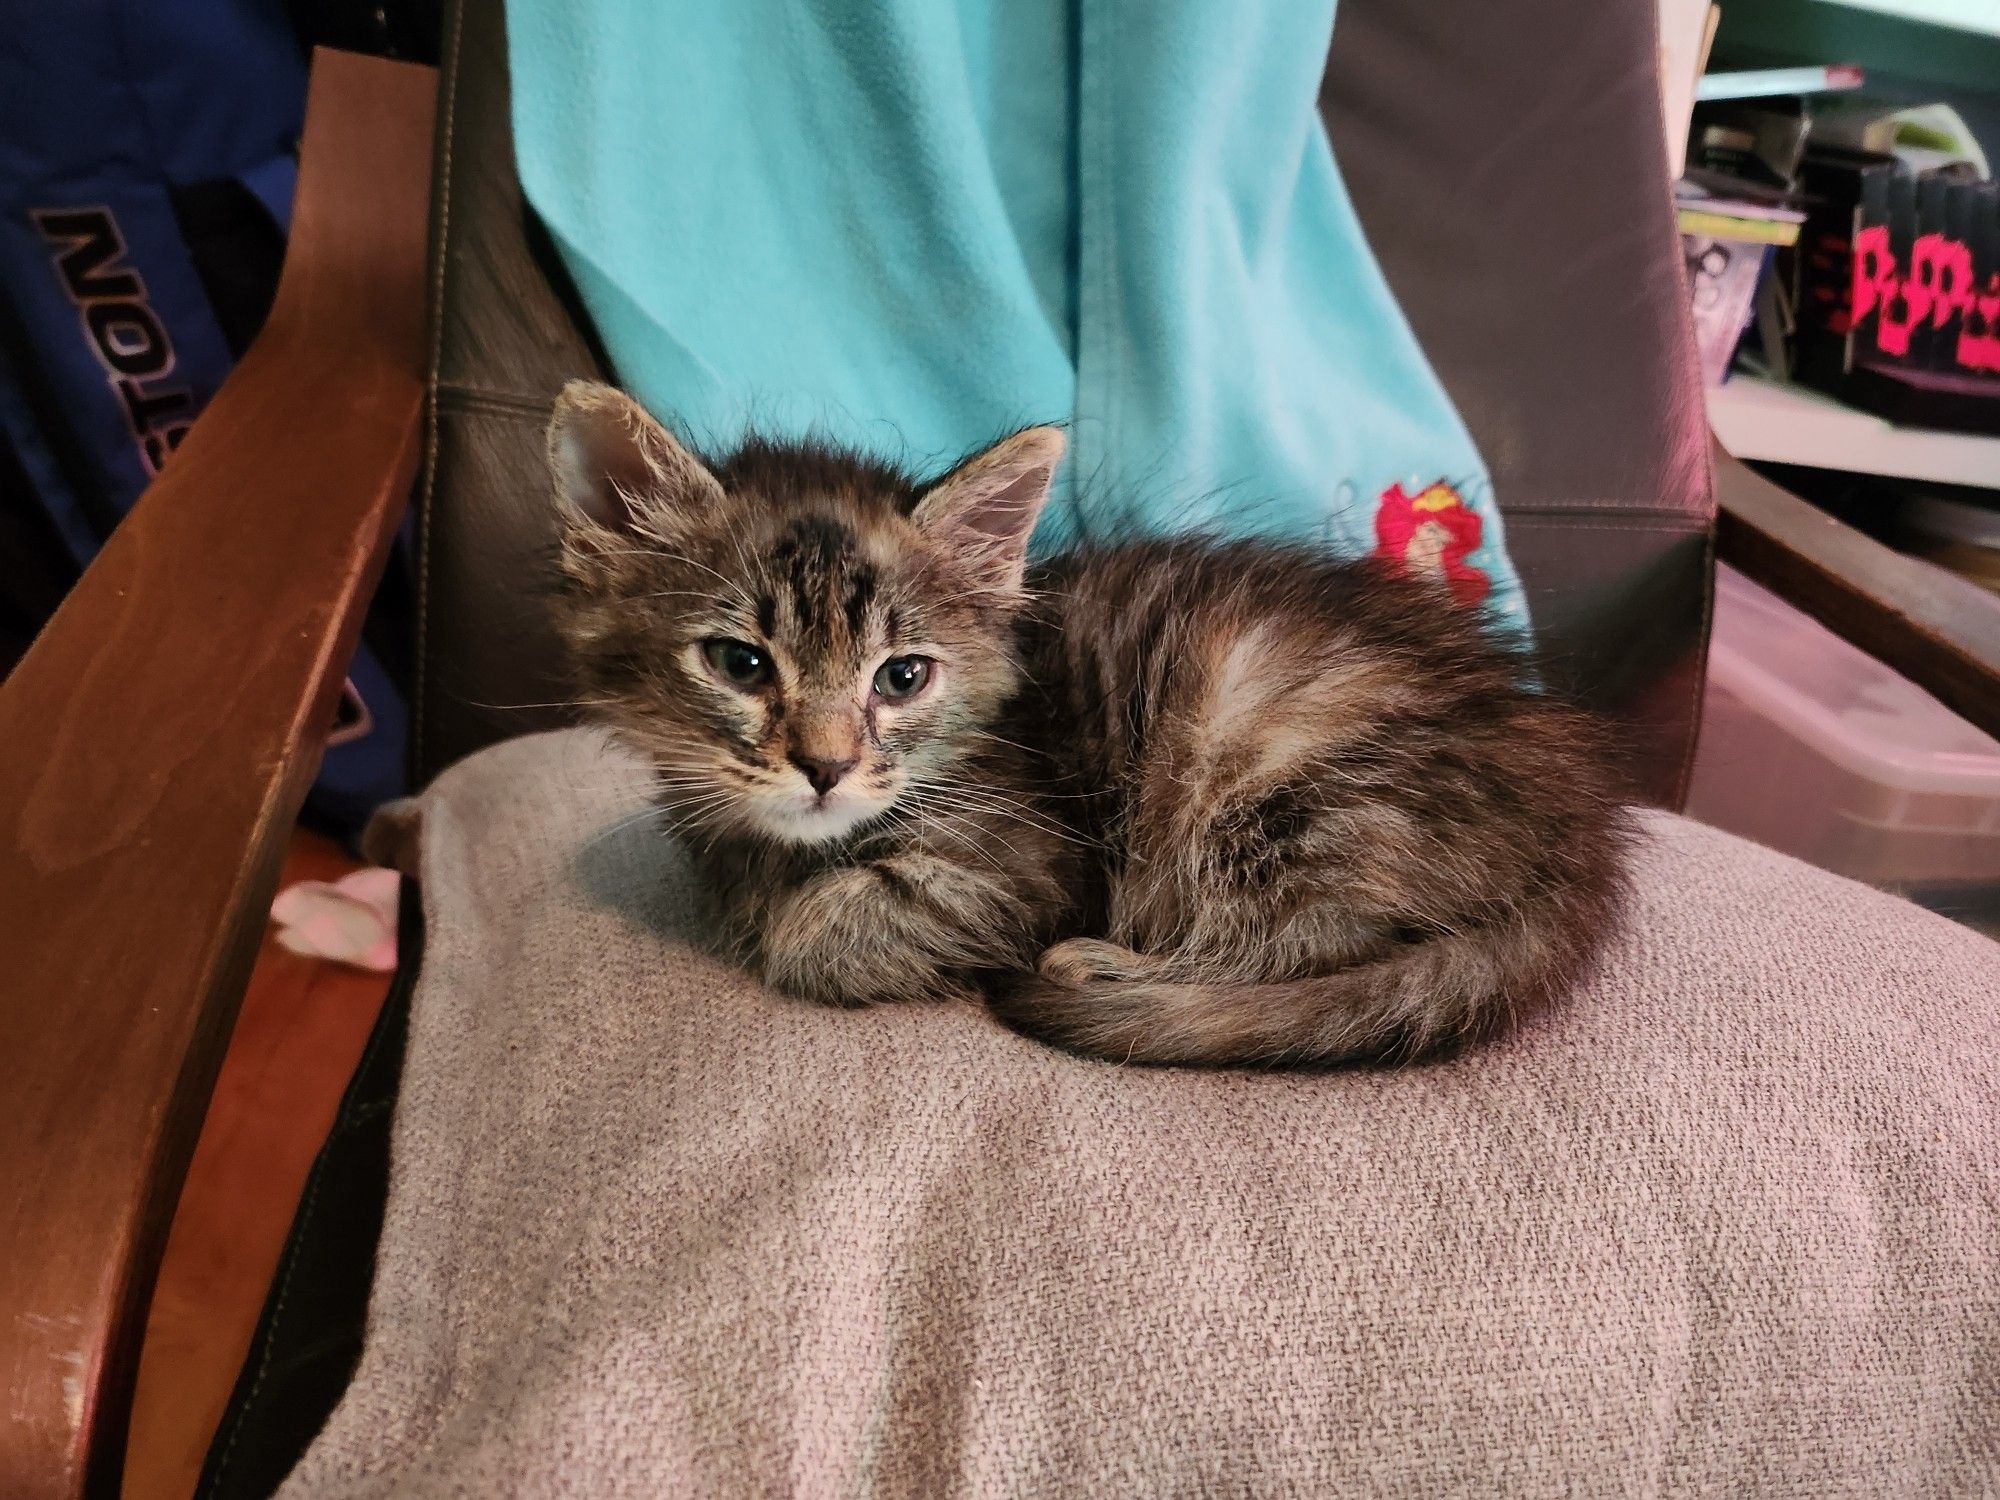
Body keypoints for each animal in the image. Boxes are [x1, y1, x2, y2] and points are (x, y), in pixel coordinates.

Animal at [544, 382, 1624, 1072]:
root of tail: (1579, 835)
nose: (825, 767)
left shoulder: (1029, 866)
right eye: (740, 664)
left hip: (1278, 775)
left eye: (901, 677)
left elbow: (819, 935)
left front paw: (785, 919)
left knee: (1314, 945)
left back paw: (1108, 970)